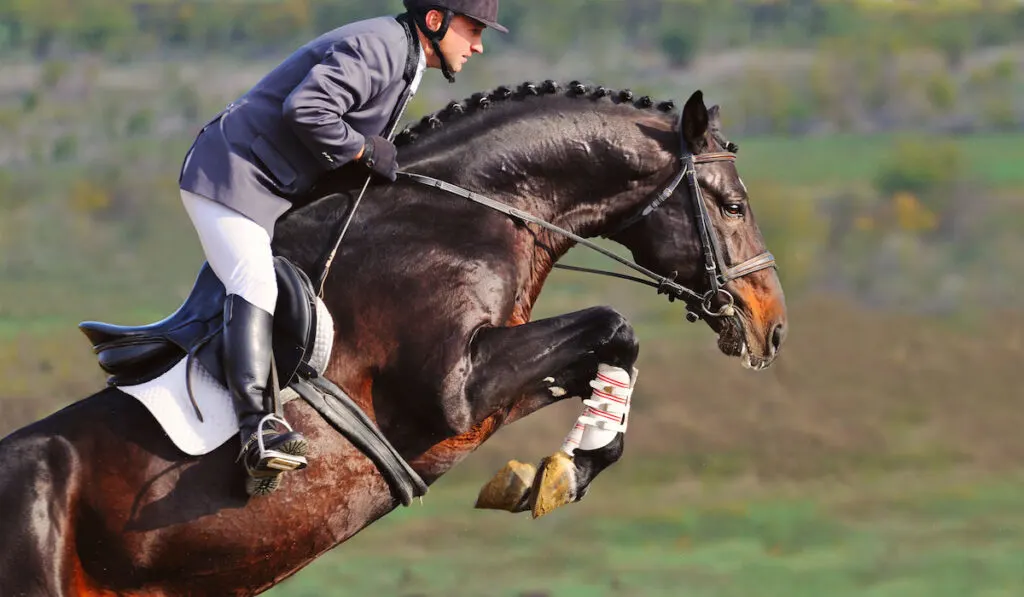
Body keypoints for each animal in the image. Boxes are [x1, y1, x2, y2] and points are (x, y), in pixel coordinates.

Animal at [0, 80, 790, 597]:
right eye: (734, 205)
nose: (771, 326)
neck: (467, 217)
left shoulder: (486, 393)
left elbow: (608, 349)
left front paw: (553, 474)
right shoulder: (456, 391)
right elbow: (611, 323)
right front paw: (560, 473)